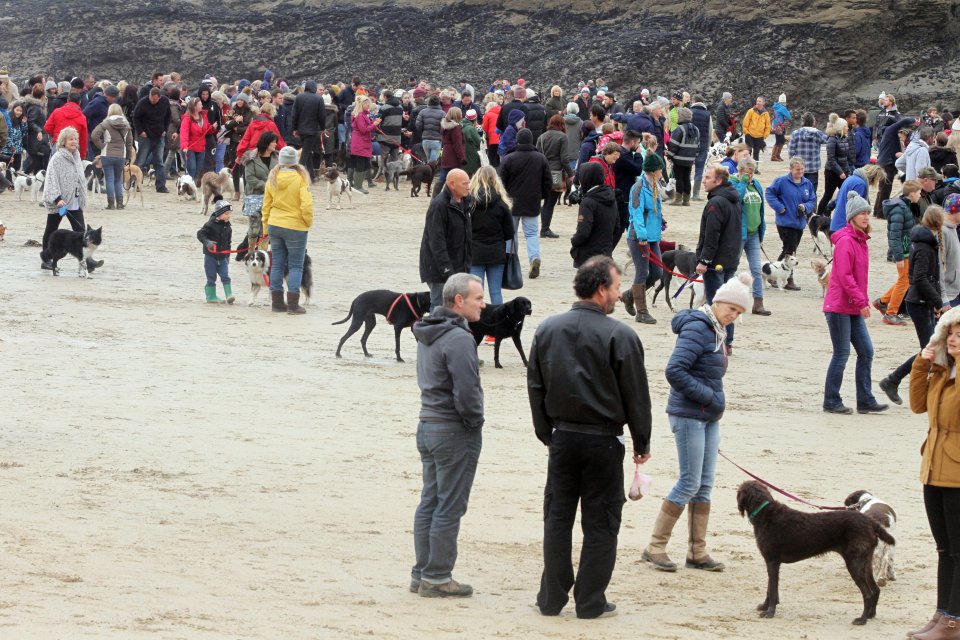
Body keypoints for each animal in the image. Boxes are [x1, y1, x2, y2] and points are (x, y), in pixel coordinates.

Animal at [740, 480, 896, 624]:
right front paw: (765, 606)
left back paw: (862, 619)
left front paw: (770, 612)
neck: (765, 513)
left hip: (854, 564)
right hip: (866, 562)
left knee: (868, 593)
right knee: (875, 590)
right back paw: (870, 615)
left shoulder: (772, 561)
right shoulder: (772, 563)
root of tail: (871, 522)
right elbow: (770, 588)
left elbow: (772, 590)